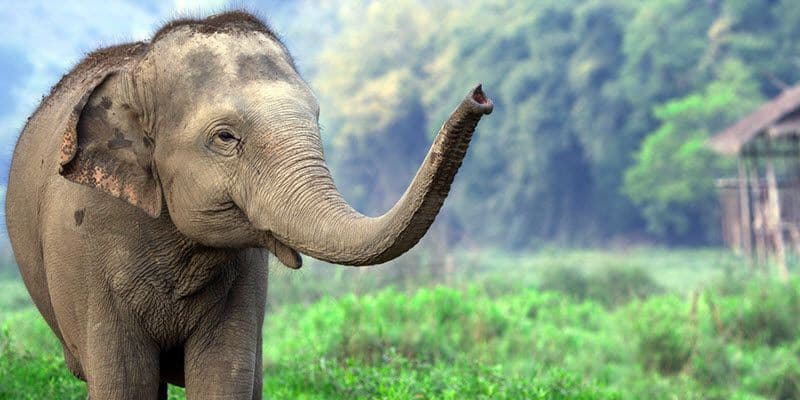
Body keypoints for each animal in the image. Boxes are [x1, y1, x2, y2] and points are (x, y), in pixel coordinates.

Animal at [5, 11, 492, 399]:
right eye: (225, 137)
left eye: (316, 121)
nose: (481, 96)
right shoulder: (85, 253)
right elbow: (124, 384)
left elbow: (225, 377)